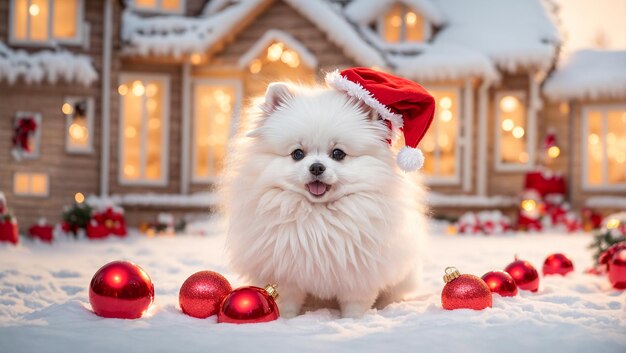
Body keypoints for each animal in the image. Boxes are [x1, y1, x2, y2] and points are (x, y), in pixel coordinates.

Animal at [221, 67, 434, 318]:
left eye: (338, 153)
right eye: (297, 154)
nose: (316, 167)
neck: (318, 215)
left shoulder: (359, 275)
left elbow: (355, 304)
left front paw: (353, 320)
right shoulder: (284, 273)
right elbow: (286, 302)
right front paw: (284, 319)